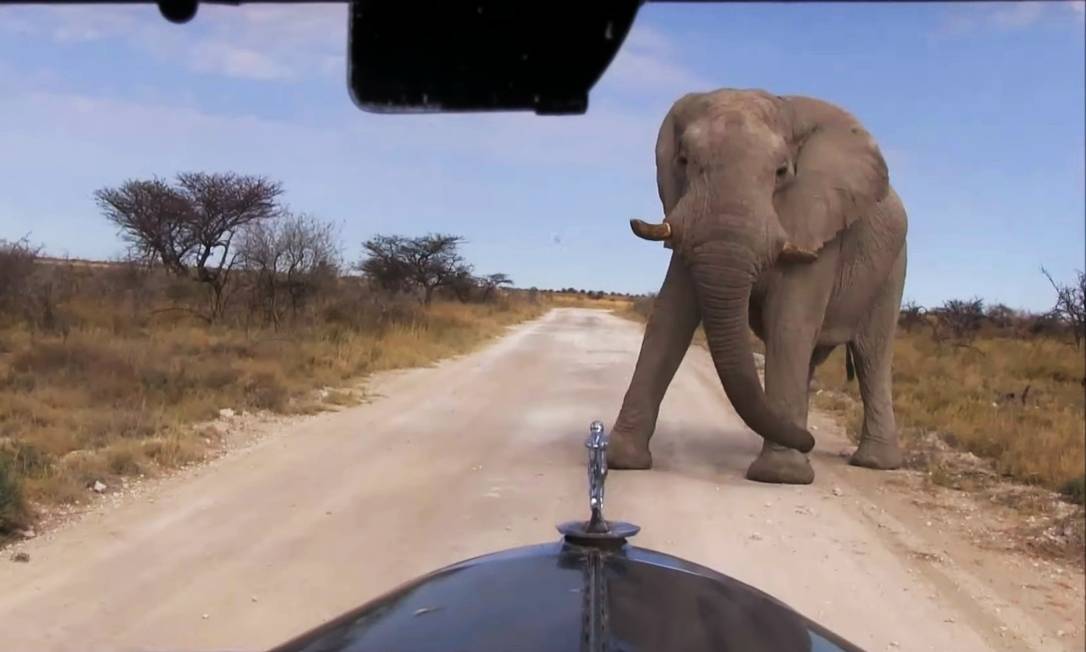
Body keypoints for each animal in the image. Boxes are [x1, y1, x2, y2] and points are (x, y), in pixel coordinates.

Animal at [612, 88, 907, 484]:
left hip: (893, 267)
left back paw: (871, 463)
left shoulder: (815, 222)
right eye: (684, 161)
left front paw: (781, 476)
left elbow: (789, 324)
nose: (812, 442)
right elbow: (670, 317)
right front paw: (621, 459)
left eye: (782, 172)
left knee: (871, 354)